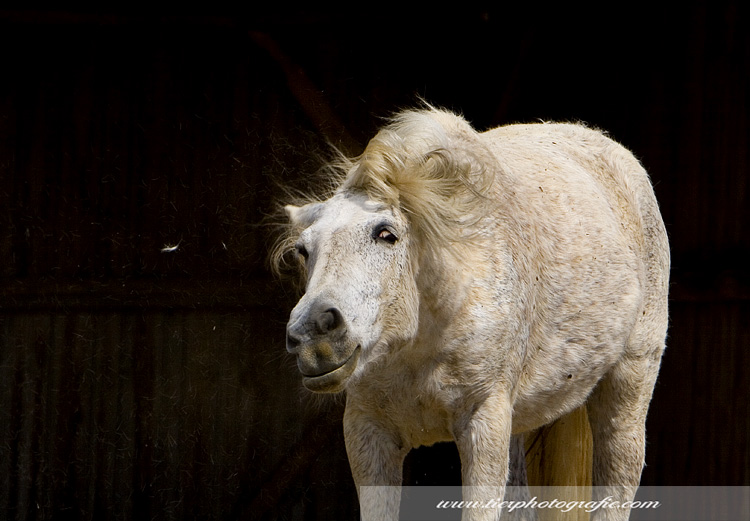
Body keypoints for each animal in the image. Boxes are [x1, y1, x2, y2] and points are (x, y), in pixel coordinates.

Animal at [274, 107, 672, 516]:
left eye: (386, 234)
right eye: (303, 250)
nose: (315, 335)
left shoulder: (484, 421)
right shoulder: (368, 430)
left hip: (630, 382)